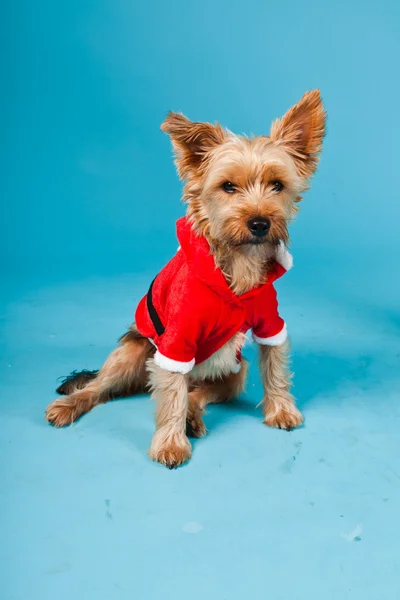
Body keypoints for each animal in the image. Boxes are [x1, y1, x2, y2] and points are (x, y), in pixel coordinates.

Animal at [47, 91, 326, 472]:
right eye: (228, 186)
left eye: (277, 186)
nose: (259, 223)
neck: (237, 263)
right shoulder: (177, 340)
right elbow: (171, 398)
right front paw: (169, 443)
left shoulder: (270, 321)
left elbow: (275, 364)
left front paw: (282, 408)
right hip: (134, 352)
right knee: (104, 388)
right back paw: (71, 405)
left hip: (233, 372)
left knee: (196, 392)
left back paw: (193, 415)